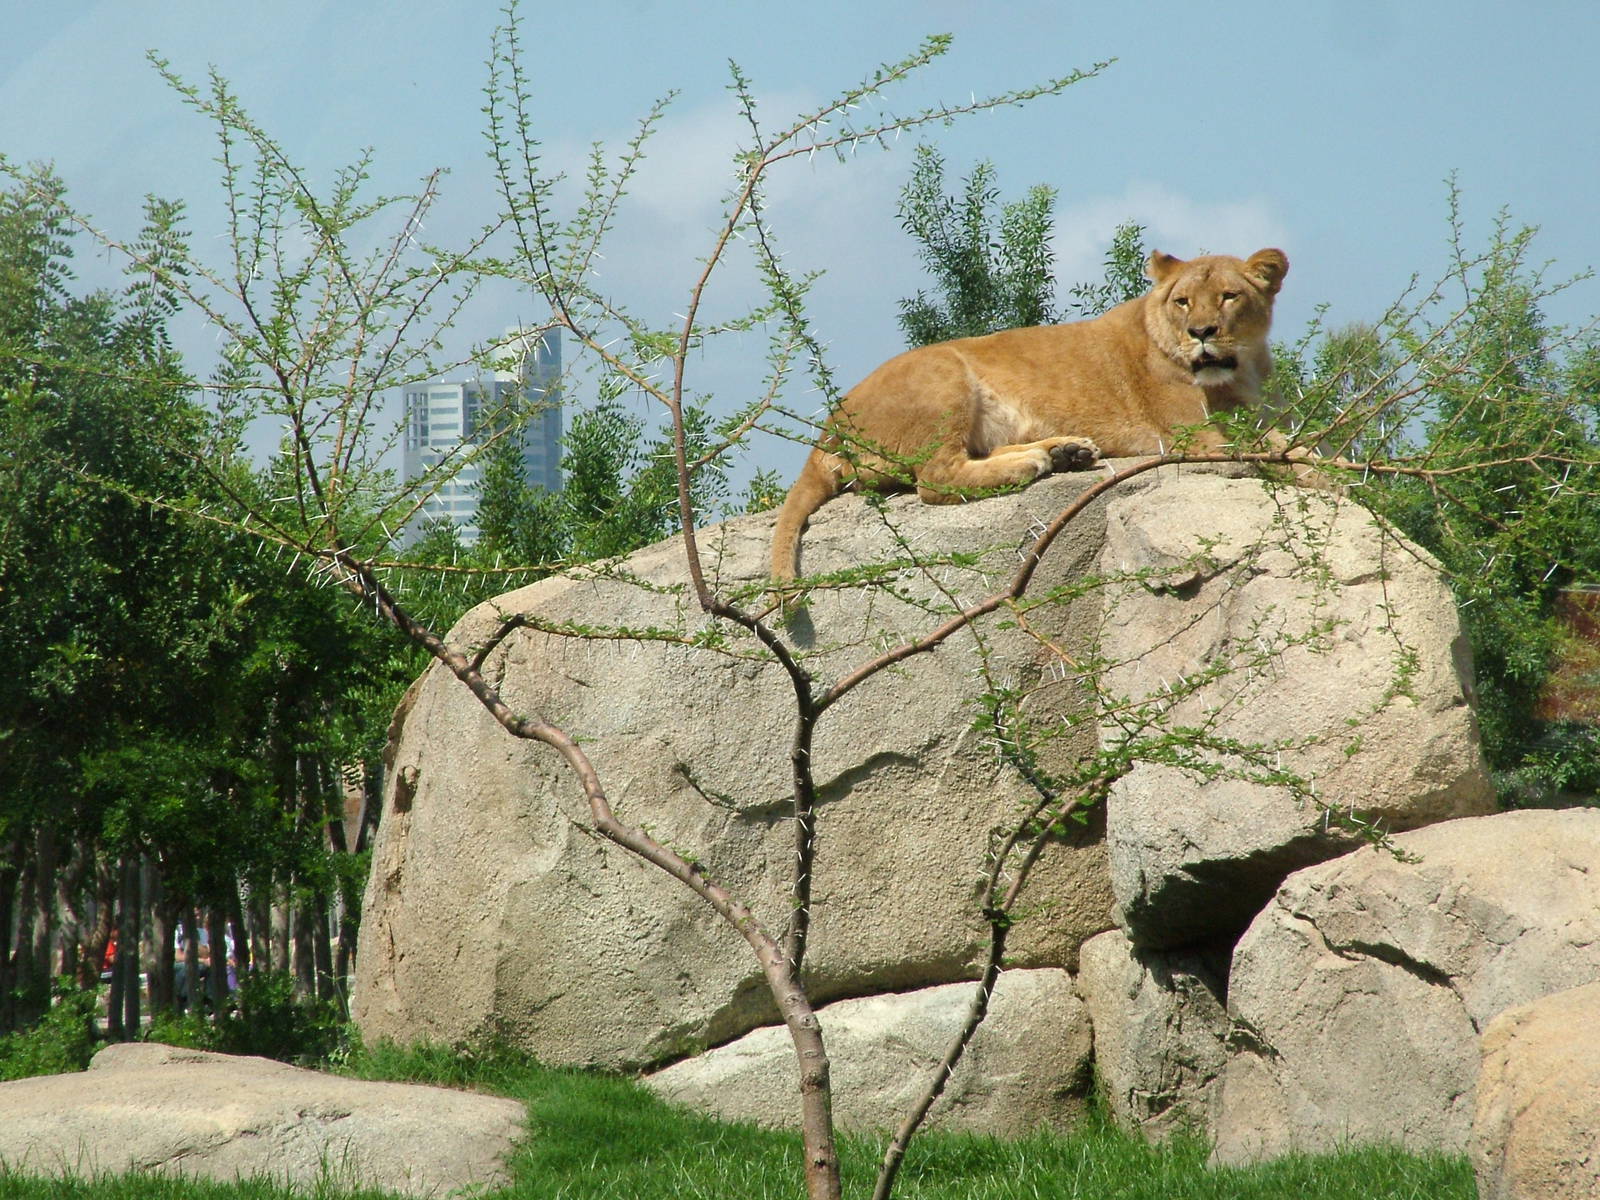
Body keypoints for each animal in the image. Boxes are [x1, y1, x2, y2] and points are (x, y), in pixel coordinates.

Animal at [769, 247, 1294, 582]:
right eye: (1182, 302)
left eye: (1228, 296)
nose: (1200, 332)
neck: (1245, 368)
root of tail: (827, 431)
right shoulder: (1197, 437)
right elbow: (1290, 453)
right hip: (942, 373)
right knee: (934, 479)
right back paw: (1034, 463)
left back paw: (1063, 452)